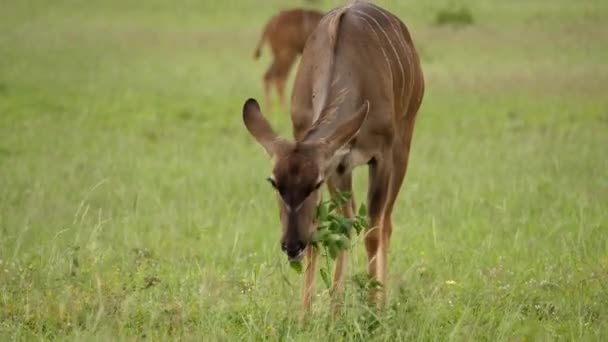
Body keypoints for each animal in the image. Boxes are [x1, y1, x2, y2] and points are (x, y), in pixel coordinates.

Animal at [241, 2, 422, 312]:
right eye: (274, 182)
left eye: (312, 184)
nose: (291, 246)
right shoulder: (336, 165)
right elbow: (333, 230)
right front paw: (315, 314)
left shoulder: (380, 157)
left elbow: (372, 231)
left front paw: (373, 310)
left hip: (403, 145)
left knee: (385, 223)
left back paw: (382, 303)